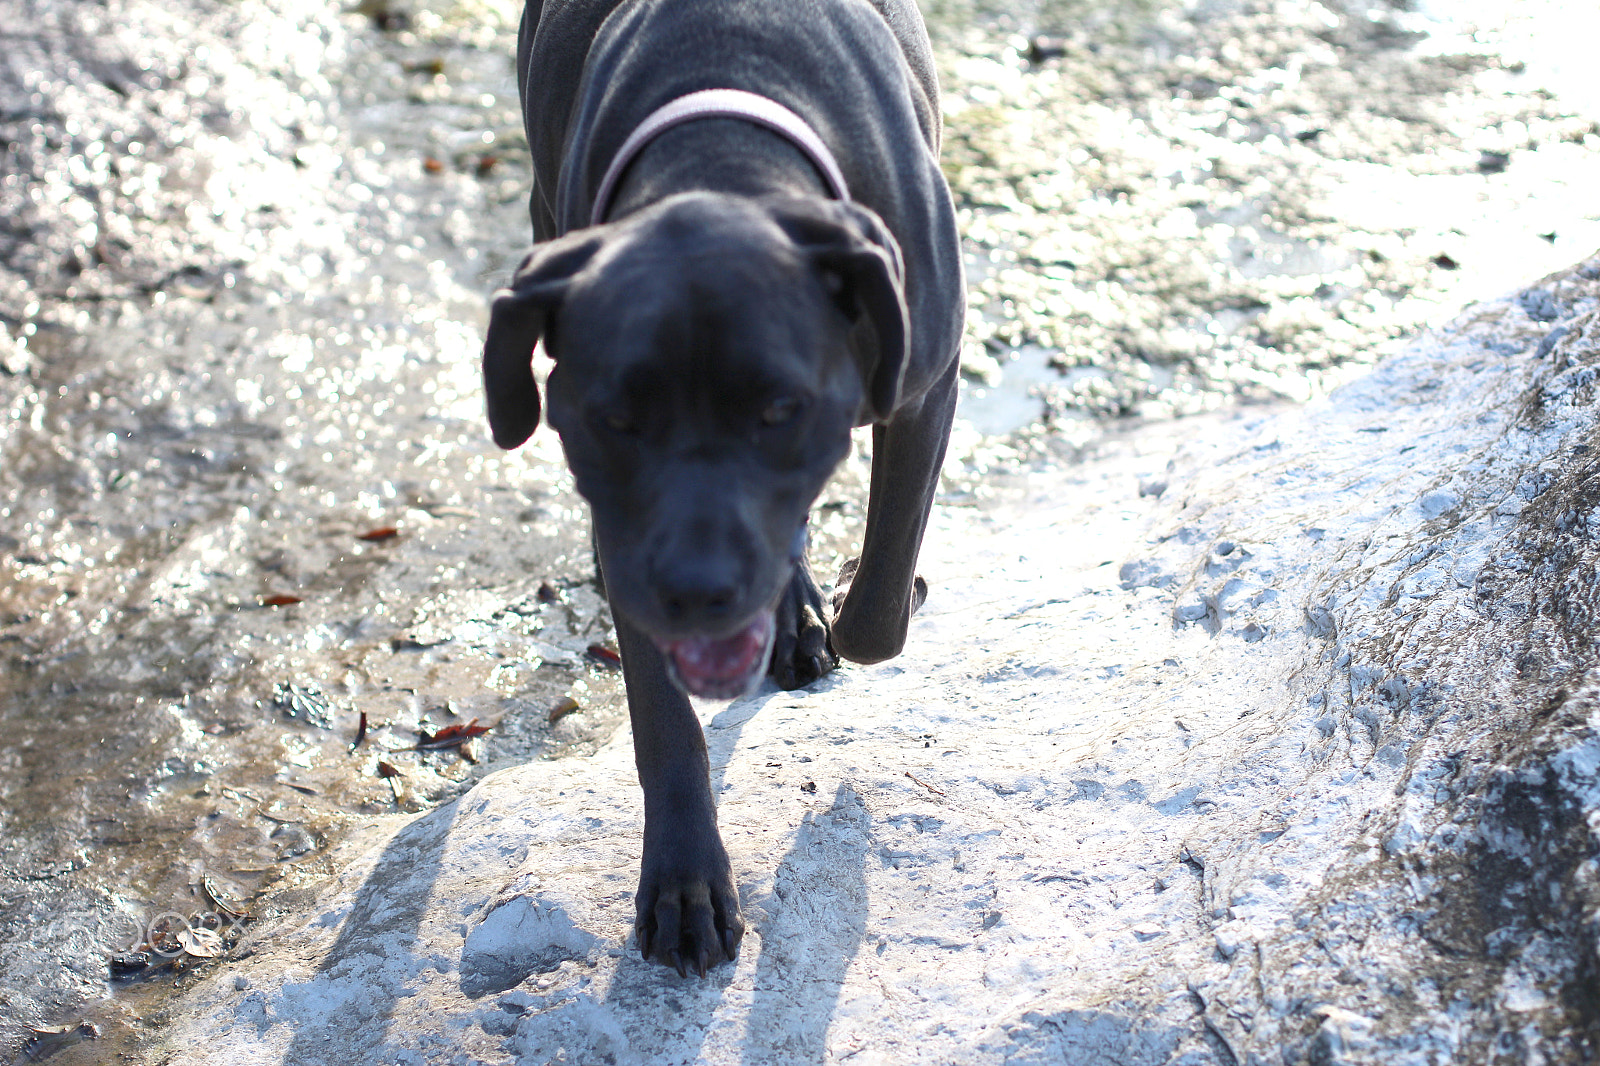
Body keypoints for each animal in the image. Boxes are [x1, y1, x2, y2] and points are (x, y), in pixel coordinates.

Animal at [480, 0, 960, 973]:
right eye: (616, 419)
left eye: (779, 409)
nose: (697, 592)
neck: (721, 151)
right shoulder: (623, 526)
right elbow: (663, 722)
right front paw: (684, 882)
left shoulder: (926, 385)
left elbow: (879, 615)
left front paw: (852, 598)